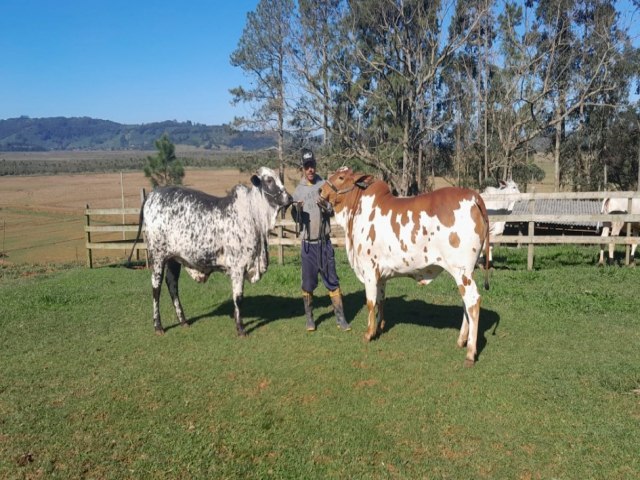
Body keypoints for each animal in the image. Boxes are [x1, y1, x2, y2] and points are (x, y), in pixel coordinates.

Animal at [131, 169, 296, 338]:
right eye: (269, 180)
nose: (290, 198)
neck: (253, 216)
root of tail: (152, 195)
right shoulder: (238, 267)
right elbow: (238, 298)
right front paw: (240, 328)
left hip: (173, 259)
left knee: (172, 285)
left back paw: (183, 321)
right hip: (158, 256)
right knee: (156, 288)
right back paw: (158, 326)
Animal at [320, 167, 490, 366]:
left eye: (341, 177)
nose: (321, 190)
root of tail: (474, 196)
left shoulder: (369, 269)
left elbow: (370, 302)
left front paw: (369, 333)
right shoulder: (381, 274)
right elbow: (380, 300)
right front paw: (379, 327)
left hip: (462, 270)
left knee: (473, 302)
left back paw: (470, 352)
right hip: (465, 273)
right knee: (466, 303)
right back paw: (461, 340)